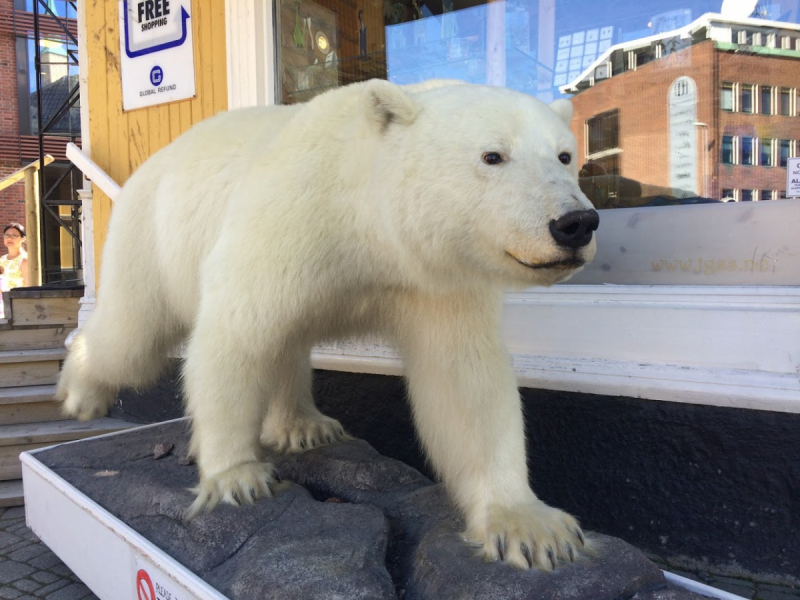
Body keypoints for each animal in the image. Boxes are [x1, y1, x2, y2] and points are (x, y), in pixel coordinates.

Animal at [56, 79, 596, 572]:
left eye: (565, 155)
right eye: (492, 155)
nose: (576, 223)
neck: (364, 219)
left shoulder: (436, 280)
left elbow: (464, 380)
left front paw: (533, 529)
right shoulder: (290, 219)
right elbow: (236, 335)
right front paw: (237, 477)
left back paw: (305, 426)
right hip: (148, 237)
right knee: (131, 340)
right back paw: (80, 391)